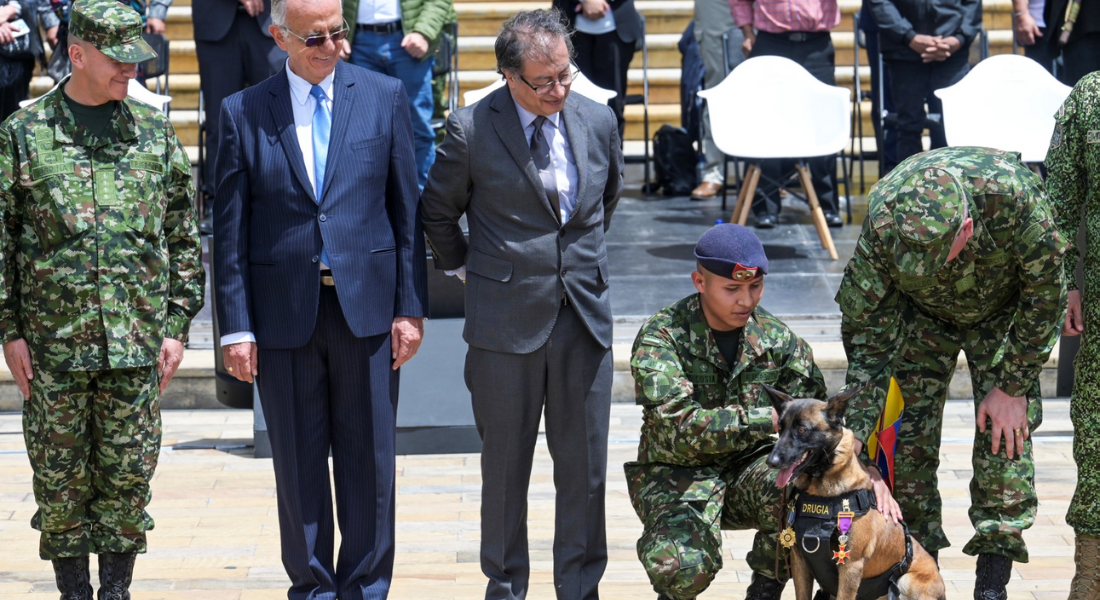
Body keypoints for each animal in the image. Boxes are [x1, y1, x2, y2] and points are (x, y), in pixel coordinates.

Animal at [765, 383, 946, 598]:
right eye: (780, 429)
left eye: (802, 430)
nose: (771, 461)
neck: (820, 492)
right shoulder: (799, 561)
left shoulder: (850, 566)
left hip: (906, 581)